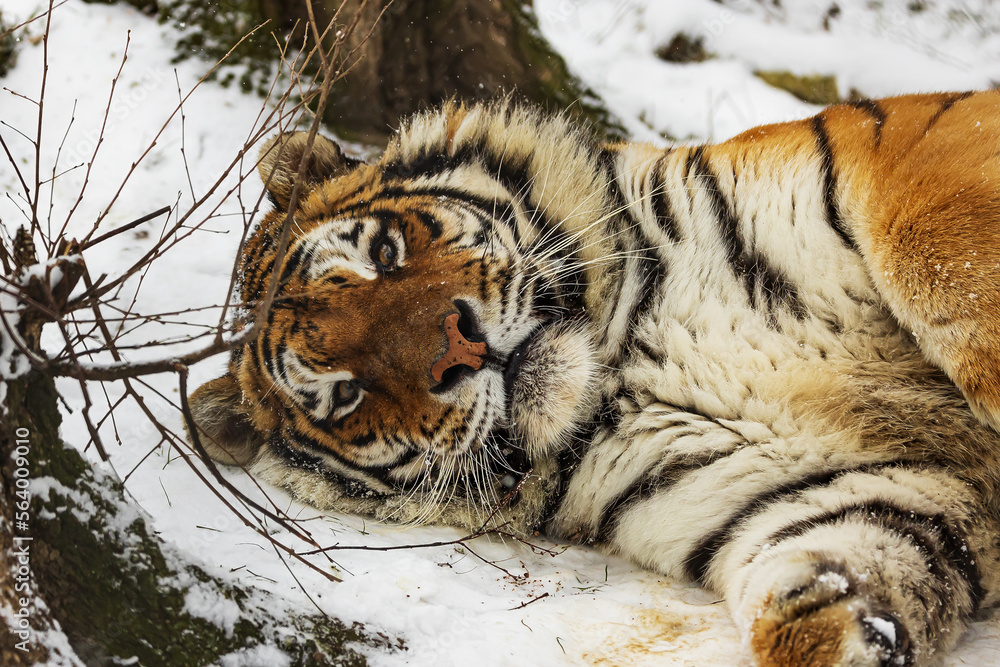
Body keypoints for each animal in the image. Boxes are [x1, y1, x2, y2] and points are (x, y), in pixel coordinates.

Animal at [191, 92, 1000, 667]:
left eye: (383, 254)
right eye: (343, 393)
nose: (458, 349)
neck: (622, 361)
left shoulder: (907, 156)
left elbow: (940, 262)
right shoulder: (830, 498)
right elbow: (825, 598)